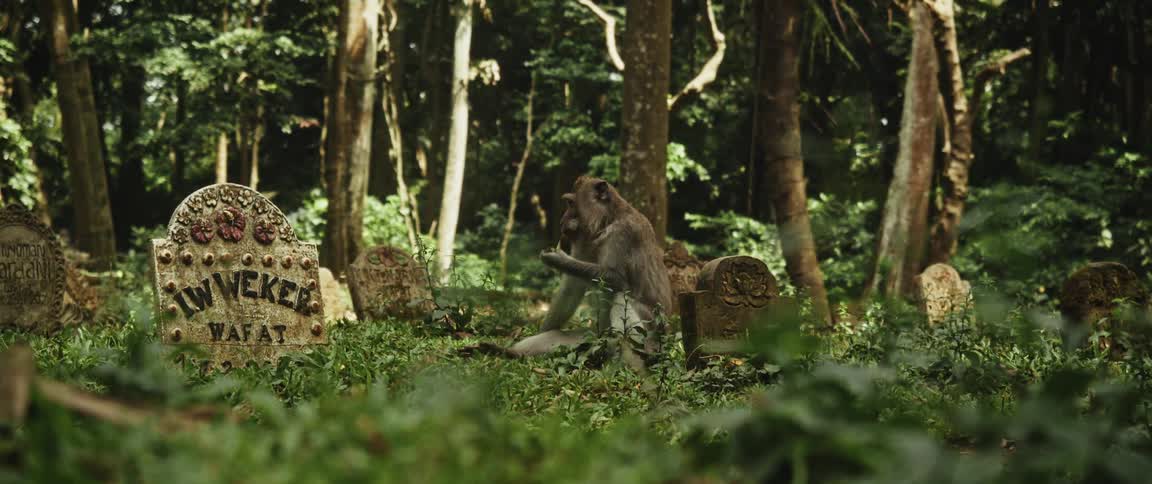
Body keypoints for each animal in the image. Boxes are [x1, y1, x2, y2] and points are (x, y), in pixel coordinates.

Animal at [509, 176, 672, 368]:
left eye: (571, 203)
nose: (562, 220)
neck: (608, 220)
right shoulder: (583, 240)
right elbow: (571, 286)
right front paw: (543, 329)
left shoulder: (624, 233)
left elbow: (615, 279)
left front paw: (557, 258)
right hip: (594, 335)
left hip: (653, 333)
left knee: (621, 297)